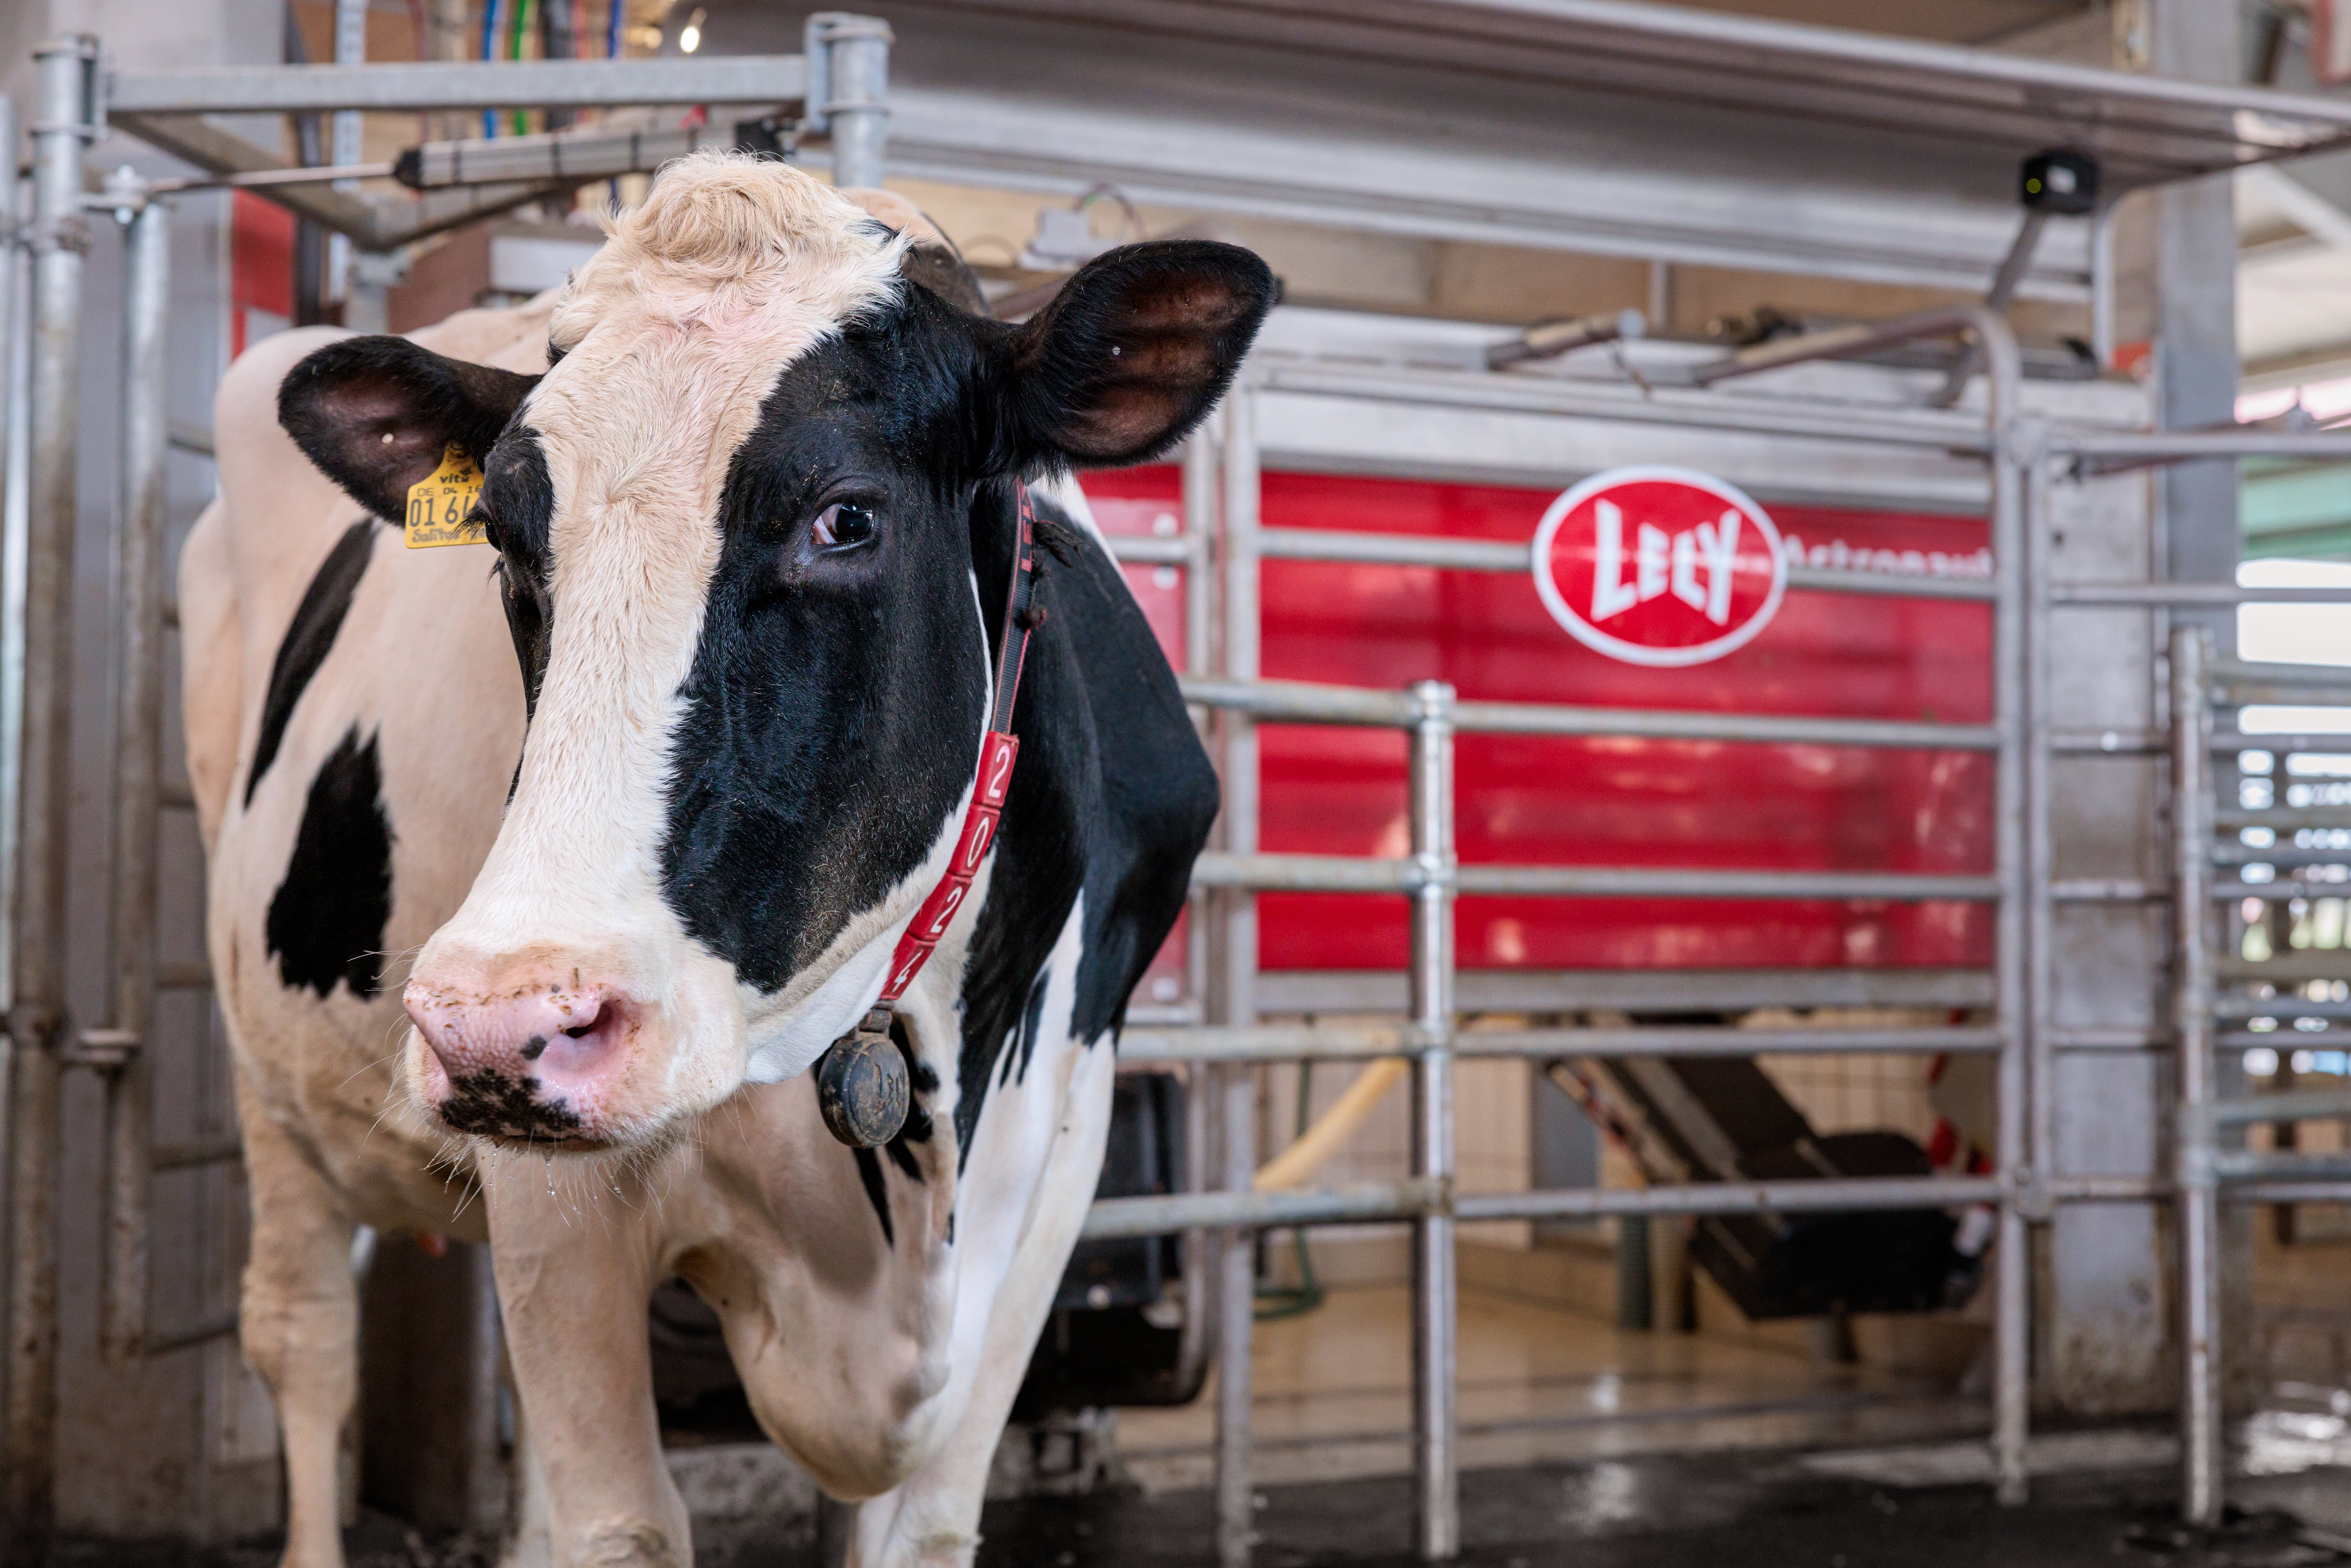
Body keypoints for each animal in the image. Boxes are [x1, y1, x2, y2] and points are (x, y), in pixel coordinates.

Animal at [181, 151, 1271, 1568]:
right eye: (506, 540)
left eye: (845, 518)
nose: (495, 1020)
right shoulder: (557, 1201)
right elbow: (622, 1525)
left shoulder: (1059, 1150)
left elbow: (919, 1526)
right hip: (272, 1076)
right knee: (305, 1342)